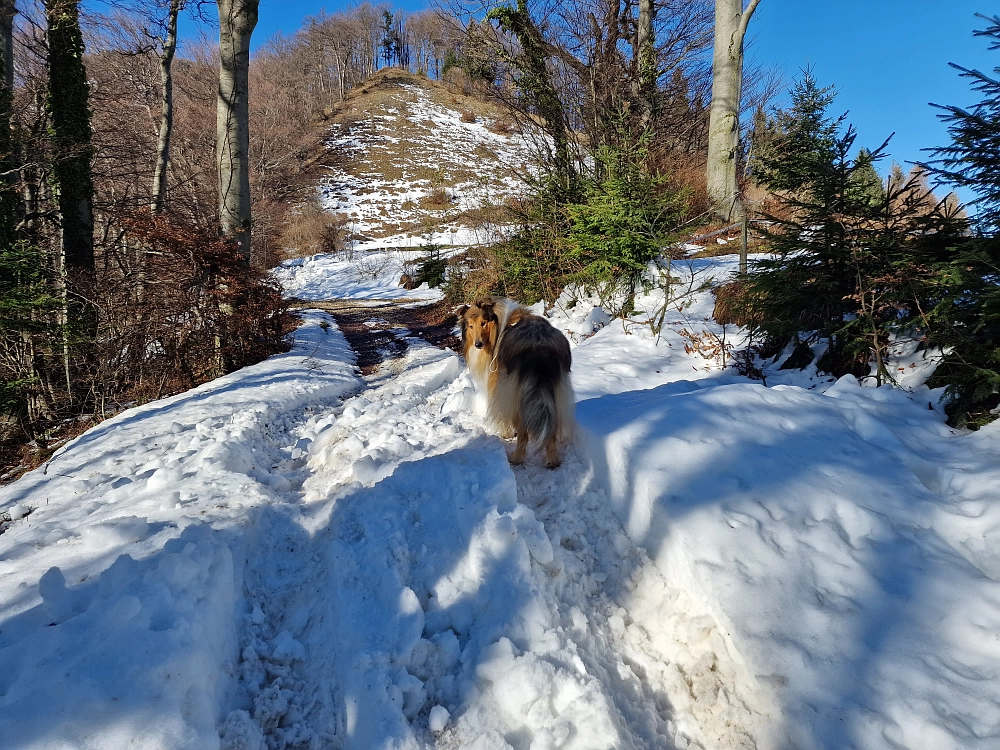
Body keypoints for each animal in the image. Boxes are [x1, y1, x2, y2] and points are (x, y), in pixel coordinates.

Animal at [458, 300, 576, 470]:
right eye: (470, 326)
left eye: (483, 323)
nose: (478, 344)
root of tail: (539, 345)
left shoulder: (498, 387)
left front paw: (506, 434)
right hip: (556, 393)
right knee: (551, 431)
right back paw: (552, 461)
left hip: (515, 395)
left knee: (523, 434)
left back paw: (516, 458)